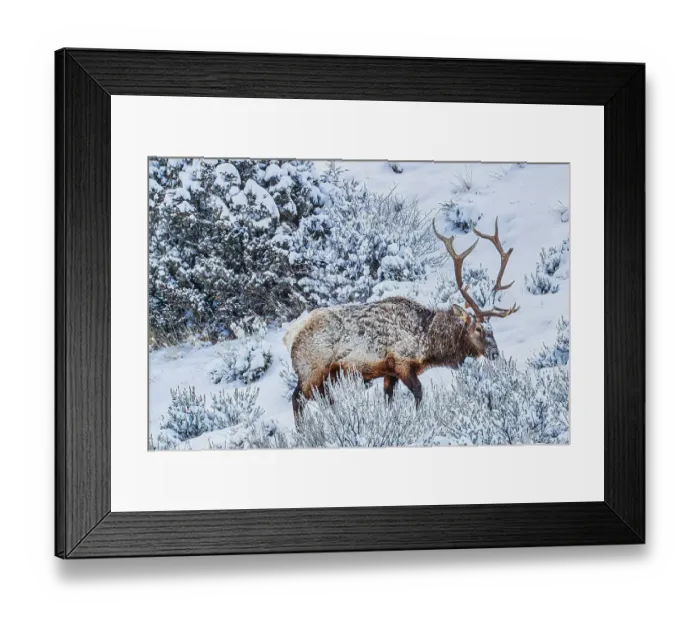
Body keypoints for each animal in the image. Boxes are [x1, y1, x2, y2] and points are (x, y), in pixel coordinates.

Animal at [284, 217, 519, 429]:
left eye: (492, 330)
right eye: (478, 329)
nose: (495, 353)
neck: (428, 342)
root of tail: (289, 336)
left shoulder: (389, 372)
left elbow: (388, 400)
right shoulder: (402, 362)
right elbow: (419, 392)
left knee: (313, 399)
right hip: (311, 370)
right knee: (299, 398)